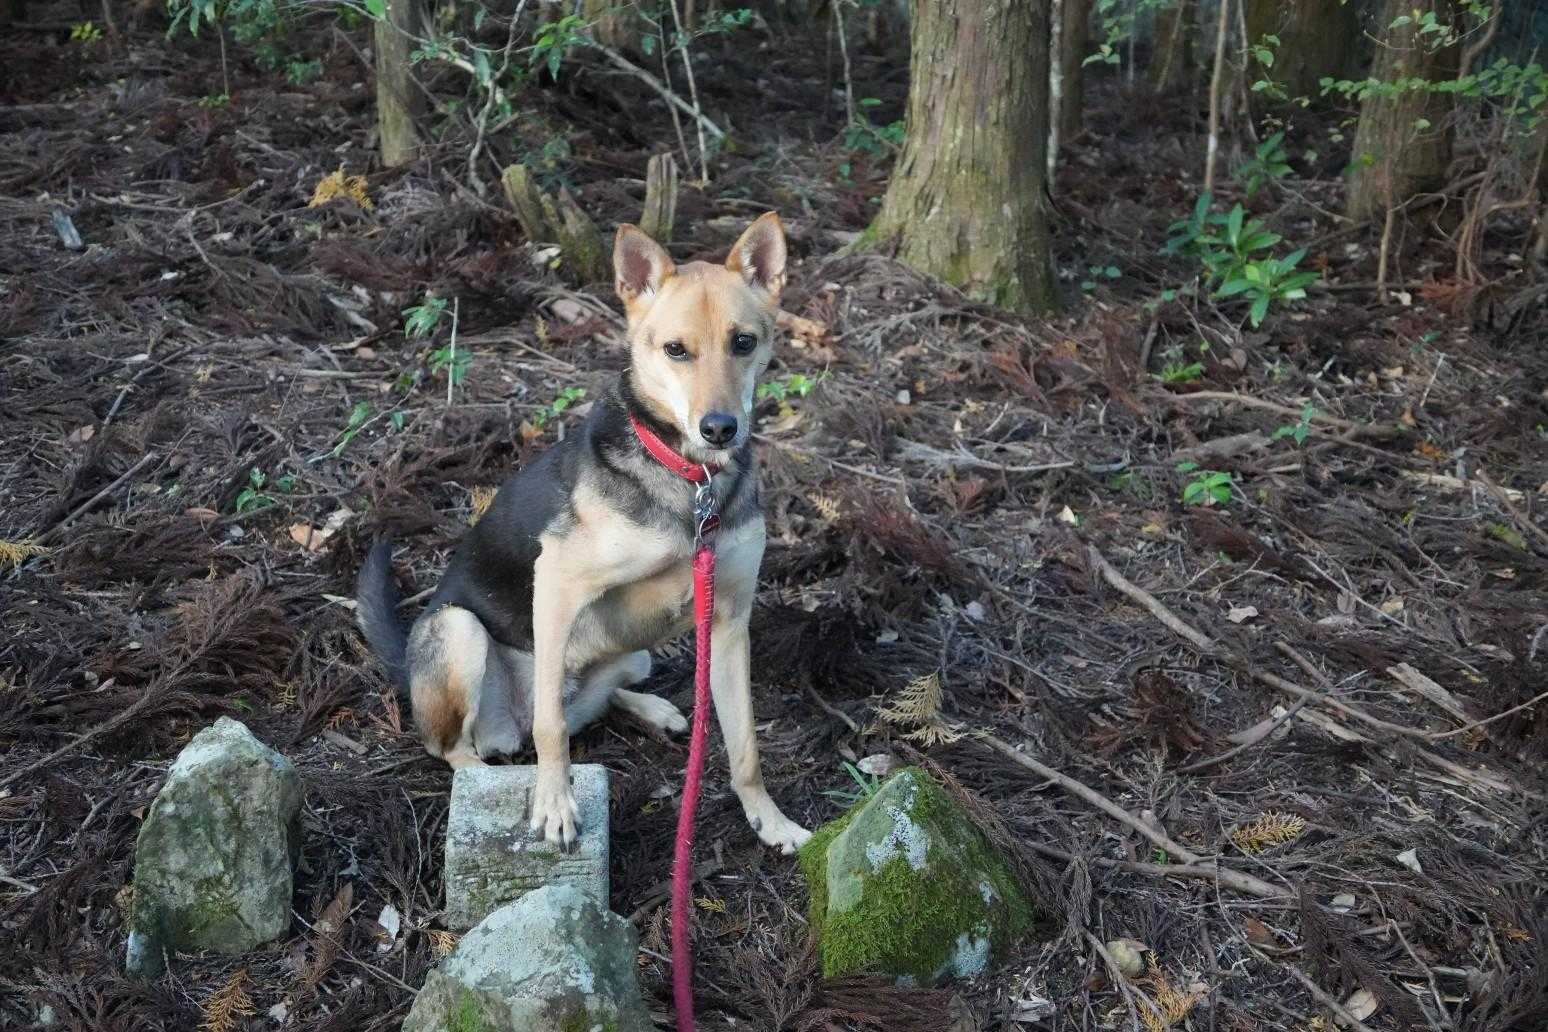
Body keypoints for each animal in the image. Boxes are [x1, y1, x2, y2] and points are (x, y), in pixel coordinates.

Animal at [356, 213, 812, 854]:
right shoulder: (558, 581)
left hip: (636, 654)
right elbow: (551, 731)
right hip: (458, 631)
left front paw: (770, 821)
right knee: (460, 745)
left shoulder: (727, 621)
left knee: (601, 691)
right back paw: (487, 770)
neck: (691, 481)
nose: (720, 428)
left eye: (743, 342)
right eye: (675, 350)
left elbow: (745, 743)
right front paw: (554, 804)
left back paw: (650, 707)